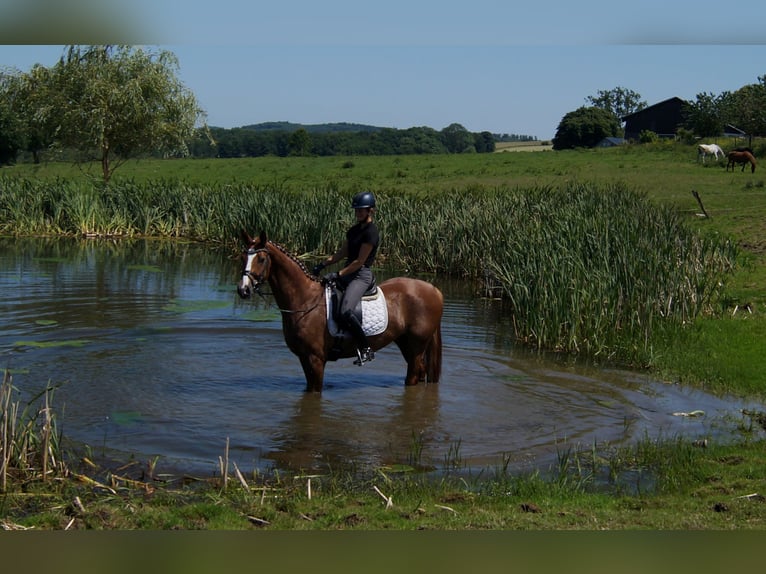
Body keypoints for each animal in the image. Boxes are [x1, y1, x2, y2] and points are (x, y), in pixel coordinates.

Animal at [236, 231, 444, 392]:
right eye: (243, 257)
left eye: (261, 259)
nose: (243, 290)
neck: (305, 300)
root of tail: (434, 290)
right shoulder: (304, 358)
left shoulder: (316, 359)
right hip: (404, 342)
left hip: (417, 345)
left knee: (413, 375)